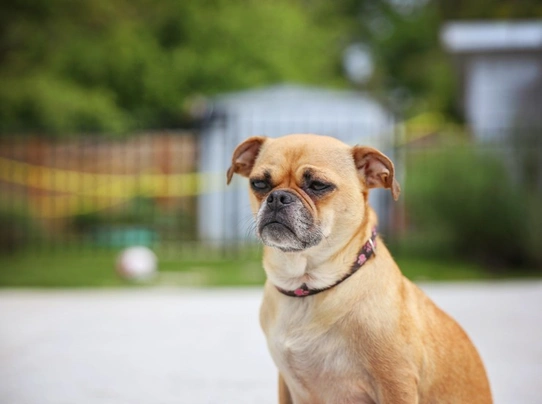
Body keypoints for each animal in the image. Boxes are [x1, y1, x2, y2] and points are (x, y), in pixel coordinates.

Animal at [227, 134, 496, 402]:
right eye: (259, 184)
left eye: (318, 185)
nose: (277, 197)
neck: (306, 286)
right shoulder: (286, 384)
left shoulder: (396, 382)